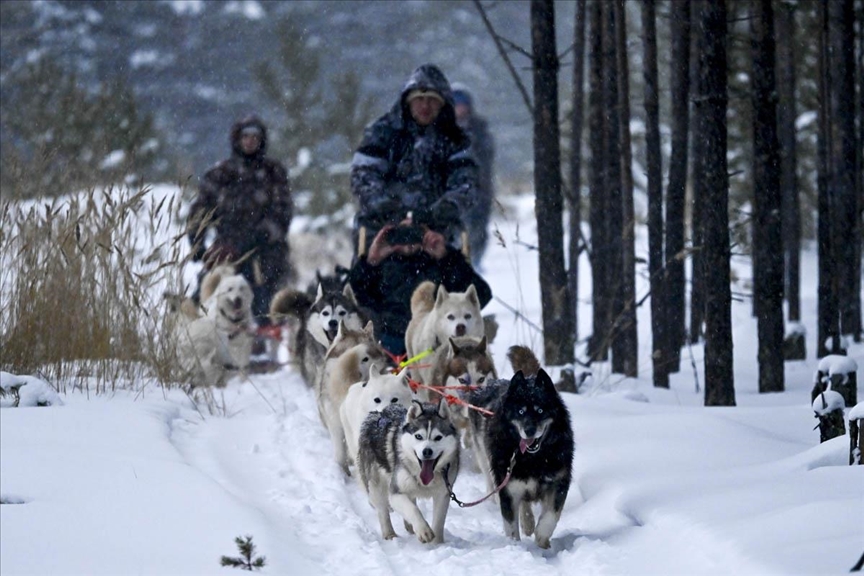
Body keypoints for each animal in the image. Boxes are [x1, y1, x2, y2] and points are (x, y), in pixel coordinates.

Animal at [358, 398, 462, 544]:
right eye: (418, 436)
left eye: (438, 437)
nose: (427, 451)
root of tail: (378, 413)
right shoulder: (395, 492)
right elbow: (412, 509)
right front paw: (423, 530)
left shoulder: (443, 493)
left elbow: (438, 521)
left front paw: (437, 544)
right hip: (376, 484)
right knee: (383, 509)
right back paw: (390, 533)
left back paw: (410, 526)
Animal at [466, 346, 572, 548]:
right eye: (521, 411)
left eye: (540, 410)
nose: (529, 431)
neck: (533, 459)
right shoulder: (508, 488)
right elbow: (511, 525)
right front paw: (515, 546)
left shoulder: (558, 482)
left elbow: (550, 517)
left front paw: (542, 539)